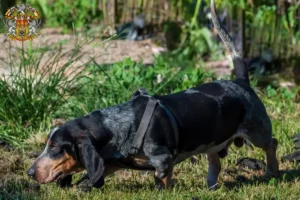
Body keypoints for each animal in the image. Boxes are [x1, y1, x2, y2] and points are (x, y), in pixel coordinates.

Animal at [27, 0, 280, 191]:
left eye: (55, 147)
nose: (29, 172)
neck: (117, 125)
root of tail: (241, 81)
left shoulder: (163, 160)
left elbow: (161, 179)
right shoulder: (113, 162)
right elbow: (97, 173)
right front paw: (84, 186)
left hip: (257, 132)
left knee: (272, 144)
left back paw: (272, 172)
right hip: (212, 142)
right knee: (215, 162)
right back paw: (211, 187)